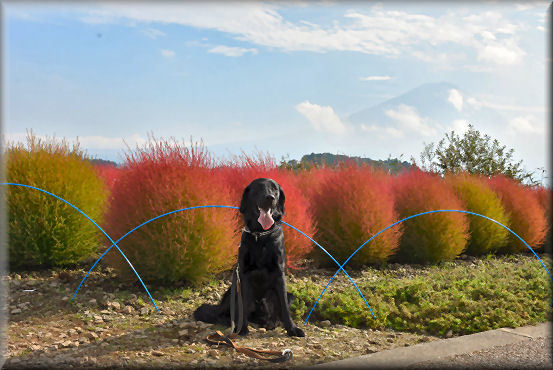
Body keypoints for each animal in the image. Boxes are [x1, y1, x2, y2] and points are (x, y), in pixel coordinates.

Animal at [193, 178, 306, 336]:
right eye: (258, 188)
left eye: (275, 189)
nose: (270, 198)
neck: (260, 235)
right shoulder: (243, 275)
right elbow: (243, 306)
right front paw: (242, 328)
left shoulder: (279, 274)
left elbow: (284, 307)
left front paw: (292, 329)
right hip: (233, 291)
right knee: (225, 314)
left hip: (288, 296)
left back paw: (270, 322)